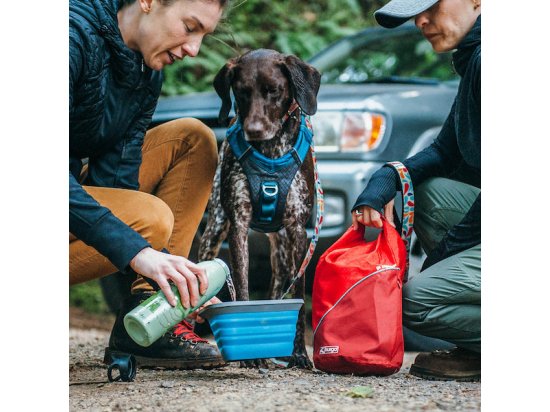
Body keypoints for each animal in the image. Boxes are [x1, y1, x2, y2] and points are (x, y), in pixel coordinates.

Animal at [198, 50, 322, 368]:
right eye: (241, 92)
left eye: (274, 90)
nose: (252, 130)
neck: (271, 152)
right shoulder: (238, 226)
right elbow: (242, 286)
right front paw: (249, 355)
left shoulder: (298, 230)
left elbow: (299, 297)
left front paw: (299, 354)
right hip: (214, 231)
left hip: (282, 251)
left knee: (279, 288)